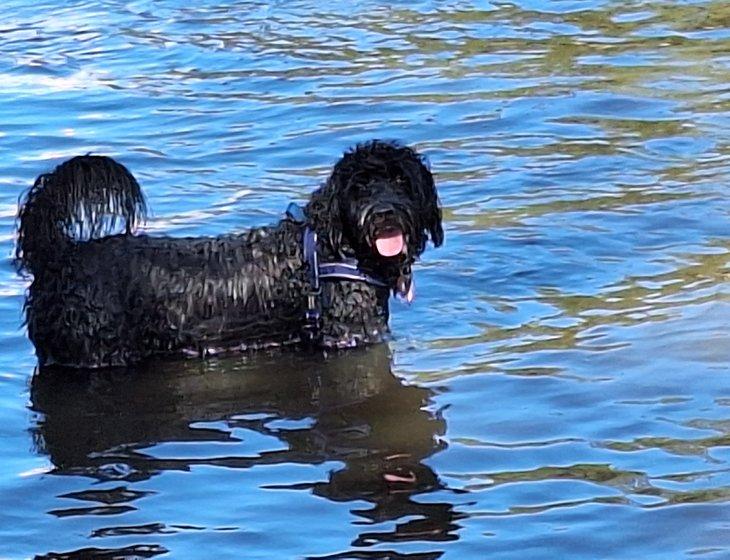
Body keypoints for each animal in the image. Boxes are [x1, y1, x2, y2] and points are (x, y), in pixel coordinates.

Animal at [17, 140, 440, 368]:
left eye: (400, 179)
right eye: (359, 186)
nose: (384, 214)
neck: (333, 245)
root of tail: (58, 256)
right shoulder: (351, 335)